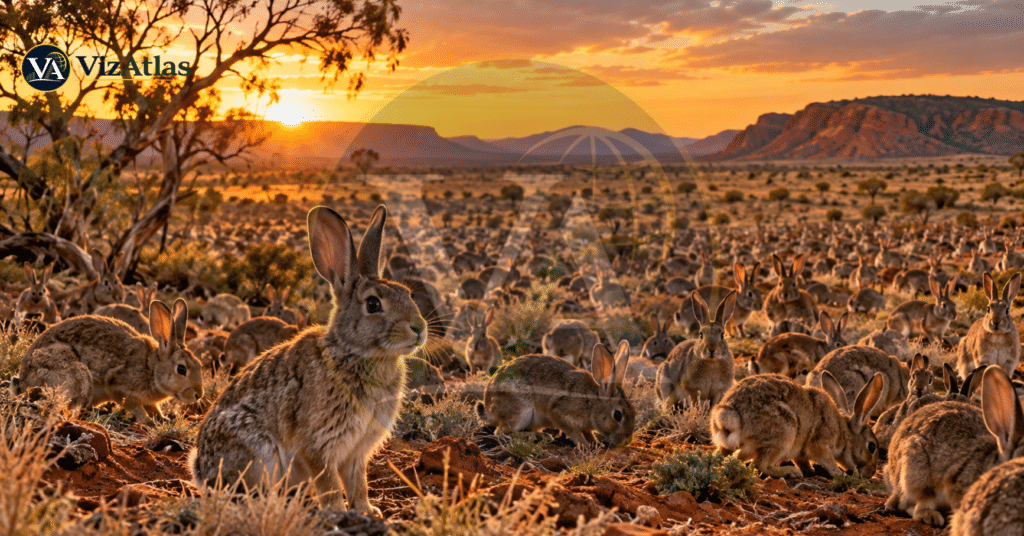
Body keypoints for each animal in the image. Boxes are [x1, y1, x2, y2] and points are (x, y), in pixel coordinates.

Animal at [12, 299, 202, 425]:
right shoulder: (119, 385)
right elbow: (134, 406)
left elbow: (154, 407)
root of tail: (23, 379)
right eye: (181, 369)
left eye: (199, 365)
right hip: (77, 373)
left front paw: (163, 419)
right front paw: (148, 422)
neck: (151, 368)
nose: (198, 395)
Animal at [192, 205, 428, 516]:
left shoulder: (357, 452)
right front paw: (337, 512)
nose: (419, 327)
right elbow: (329, 483)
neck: (354, 352)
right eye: (373, 304)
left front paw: (367, 511)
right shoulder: (318, 444)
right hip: (259, 455)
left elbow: (358, 483)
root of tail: (199, 469)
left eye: (408, 294)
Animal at [481, 340, 635, 448]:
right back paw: (536, 436)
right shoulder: (559, 412)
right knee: (501, 432)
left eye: (634, 411)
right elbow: (574, 431)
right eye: (617, 415)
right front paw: (584, 445)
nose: (627, 441)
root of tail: (489, 407)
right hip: (521, 412)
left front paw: (596, 443)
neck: (592, 402)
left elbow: (588, 432)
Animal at [711, 371, 884, 479]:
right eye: (871, 447)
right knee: (759, 465)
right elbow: (827, 460)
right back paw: (790, 472)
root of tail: (733, 415)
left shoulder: (801, 452)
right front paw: (839, 474)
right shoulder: (820, 443)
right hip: (785, 431)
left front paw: (811, 471)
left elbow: (803, 461)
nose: (871, 473)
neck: (845, 432)